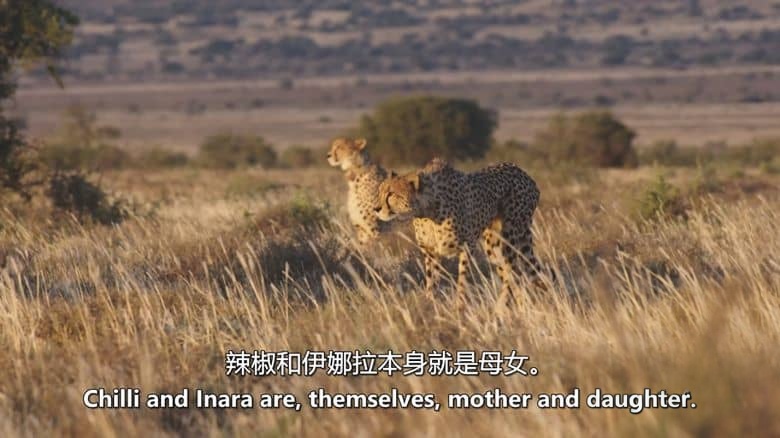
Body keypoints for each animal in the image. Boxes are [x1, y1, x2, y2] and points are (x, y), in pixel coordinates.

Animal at [374, 158, 552, 301]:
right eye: (380, 192)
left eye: (391, 194)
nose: (376, 208)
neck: (426, 211)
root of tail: (525, 174)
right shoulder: (431, 251)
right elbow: (432, 281)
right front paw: (430, 303)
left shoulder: (467, 247)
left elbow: (462, 281)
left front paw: (459, 307)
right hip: (493, 245)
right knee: (513, 277)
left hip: (510, 238)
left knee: (514, 273)